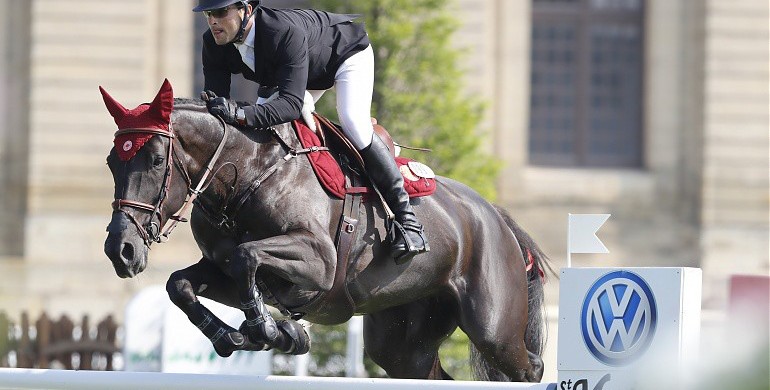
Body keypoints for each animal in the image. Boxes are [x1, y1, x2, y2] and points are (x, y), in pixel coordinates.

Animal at [102, 79, 548, 380]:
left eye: (156, 160)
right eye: (111, 162)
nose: (120, 251)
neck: (247, 174)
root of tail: (496, 217)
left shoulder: (318, 264)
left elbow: (247, 257)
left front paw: (272, 331)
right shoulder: (226, 271)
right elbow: (180, 284)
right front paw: (233, 337)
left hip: (493, 329)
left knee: (529, 365)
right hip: (403, 342)